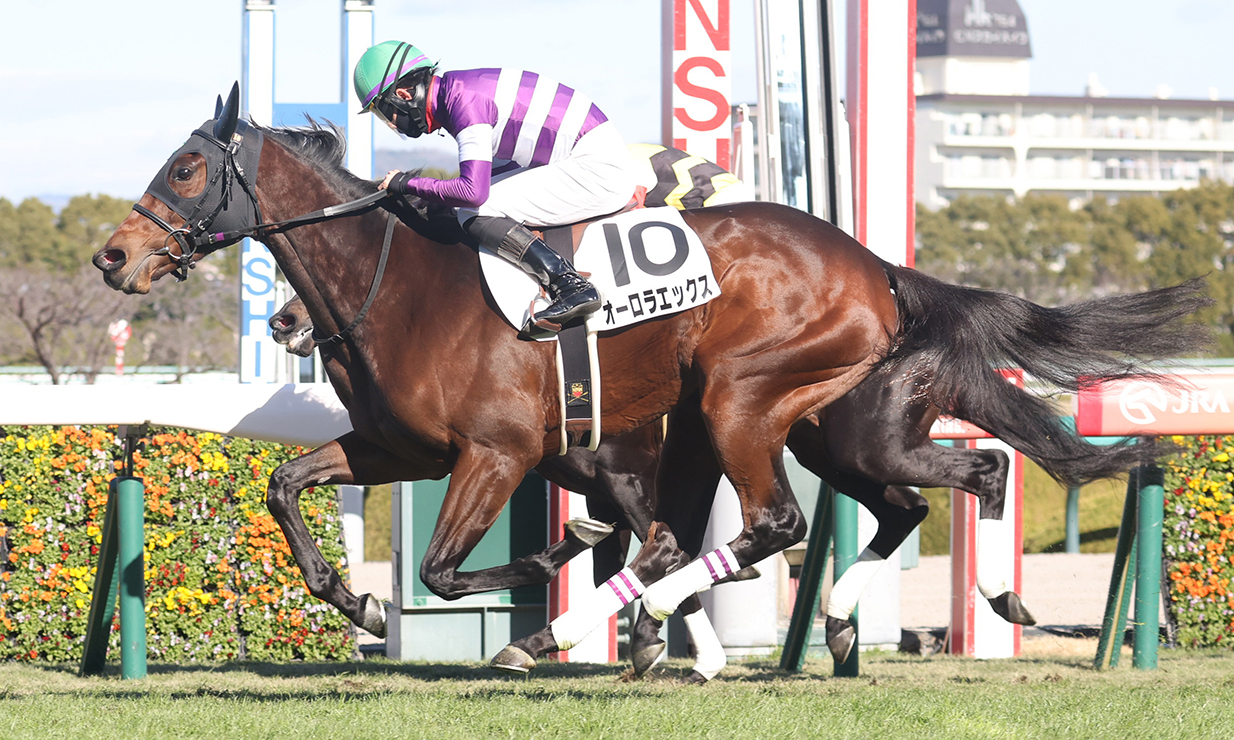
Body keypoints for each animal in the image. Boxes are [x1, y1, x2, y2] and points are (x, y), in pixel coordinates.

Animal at [93, 88, 1210, 675]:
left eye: (187, 167)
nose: (113, 256)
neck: (395, 279)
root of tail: (878, 266)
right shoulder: (397, 446)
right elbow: (285, 487)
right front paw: (360, 605)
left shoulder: (505, 451)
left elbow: (457, 570)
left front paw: (560, 600)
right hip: (824, 431)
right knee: (911, 498)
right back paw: (848, 615)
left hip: (745, 401)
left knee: (798, 518)